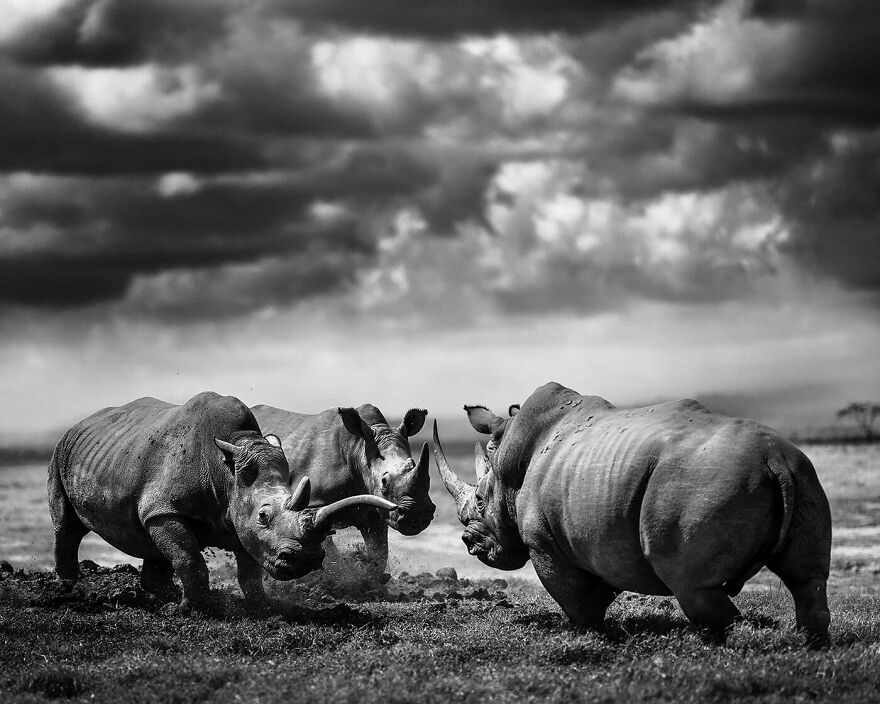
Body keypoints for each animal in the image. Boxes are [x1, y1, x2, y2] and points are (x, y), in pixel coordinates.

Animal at [48, 392, 396, 613]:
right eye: (263, 516)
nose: (307, 561)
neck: (226, 472)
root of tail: (81, 422)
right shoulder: (166, 510)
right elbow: (189, 558)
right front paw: (191, 611)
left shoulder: (232, 516)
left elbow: (249, 569)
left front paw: (262, 607)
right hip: (61, 452)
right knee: (67, 526)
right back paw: (70, 589)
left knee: (148, 538)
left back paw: (163, 597)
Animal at [251, 404, 435, 576]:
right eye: (384, 482)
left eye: (414, 466)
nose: (417, 515)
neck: (358, 448)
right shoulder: (312, 508)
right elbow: (329, 552)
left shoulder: (375, 513)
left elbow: (379, 554)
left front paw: (368, 576)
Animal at [434, 382, 832, 643]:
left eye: (480, 502)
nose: (469, 543)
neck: (508, 469)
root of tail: (773, 458)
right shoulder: (601, 537)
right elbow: (601, 584)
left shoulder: (543, 542)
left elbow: (572, 596)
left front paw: (586, 635)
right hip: (802, 472)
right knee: (807, 579)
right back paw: (807, 644)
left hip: (701, 483)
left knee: (691, 584)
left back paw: (724, 643)